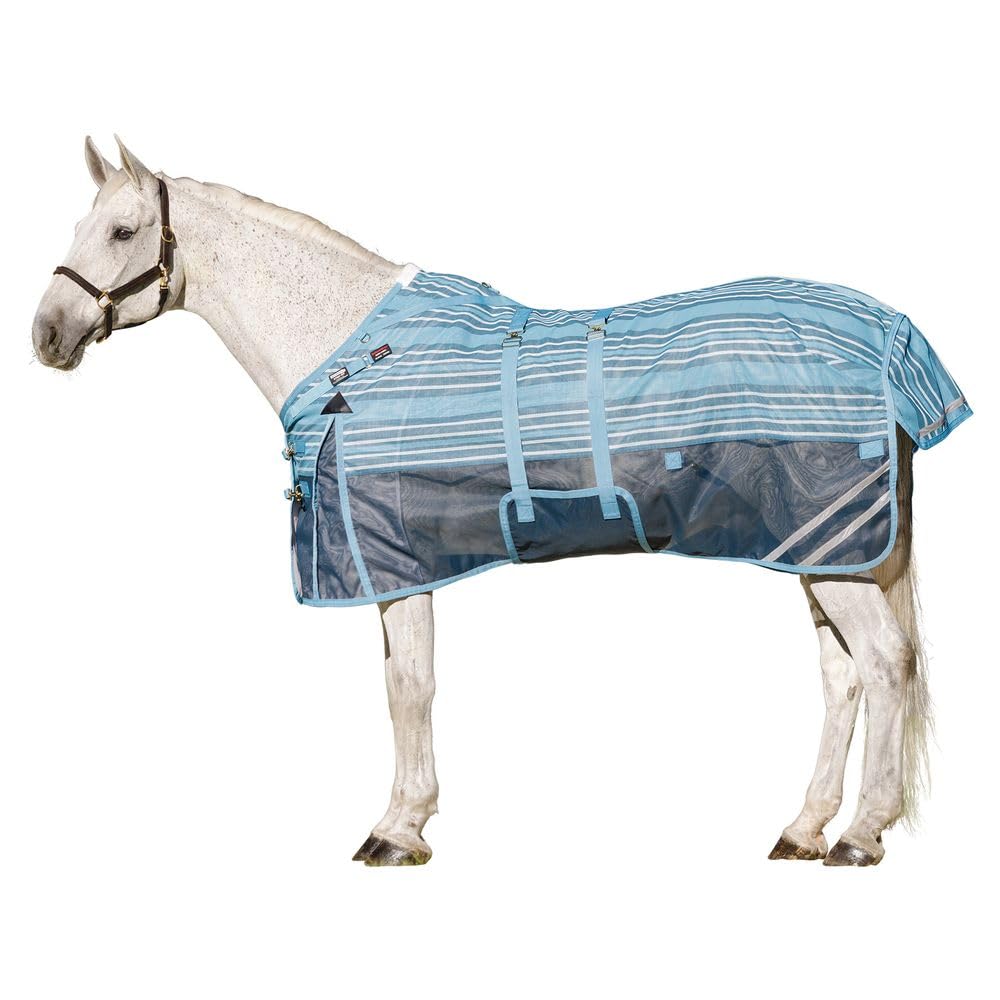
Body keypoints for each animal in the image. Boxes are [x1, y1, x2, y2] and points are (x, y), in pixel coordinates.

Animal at [31, 137, 971, 867]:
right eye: (80, 227)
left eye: (121, 230)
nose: (46, 334)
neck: (354, 357)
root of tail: (894, 340)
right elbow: (402, 684)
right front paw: (409, 817)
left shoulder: (396, 561)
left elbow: (408, 688)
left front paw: (397, 830)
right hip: (823, 547)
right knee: (843, 677)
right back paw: (805, 829)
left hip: (833, 549)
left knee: (885, 666)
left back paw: (860, 836)